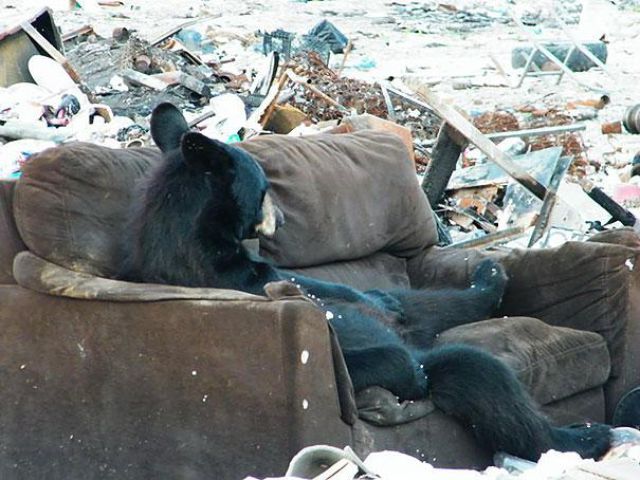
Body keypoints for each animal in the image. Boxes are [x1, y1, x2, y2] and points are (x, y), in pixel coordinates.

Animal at [121, 103, 616, 464]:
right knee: (483, 381)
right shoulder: (230, 276)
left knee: (424, 303)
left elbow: (334, 287)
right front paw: (410, 374)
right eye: (265, 189)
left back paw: (488, 278)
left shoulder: (254, 268)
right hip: (446, 362)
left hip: (410, 309)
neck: (193, 238)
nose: (282, 219)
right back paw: (586, 436)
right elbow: (363, 351)